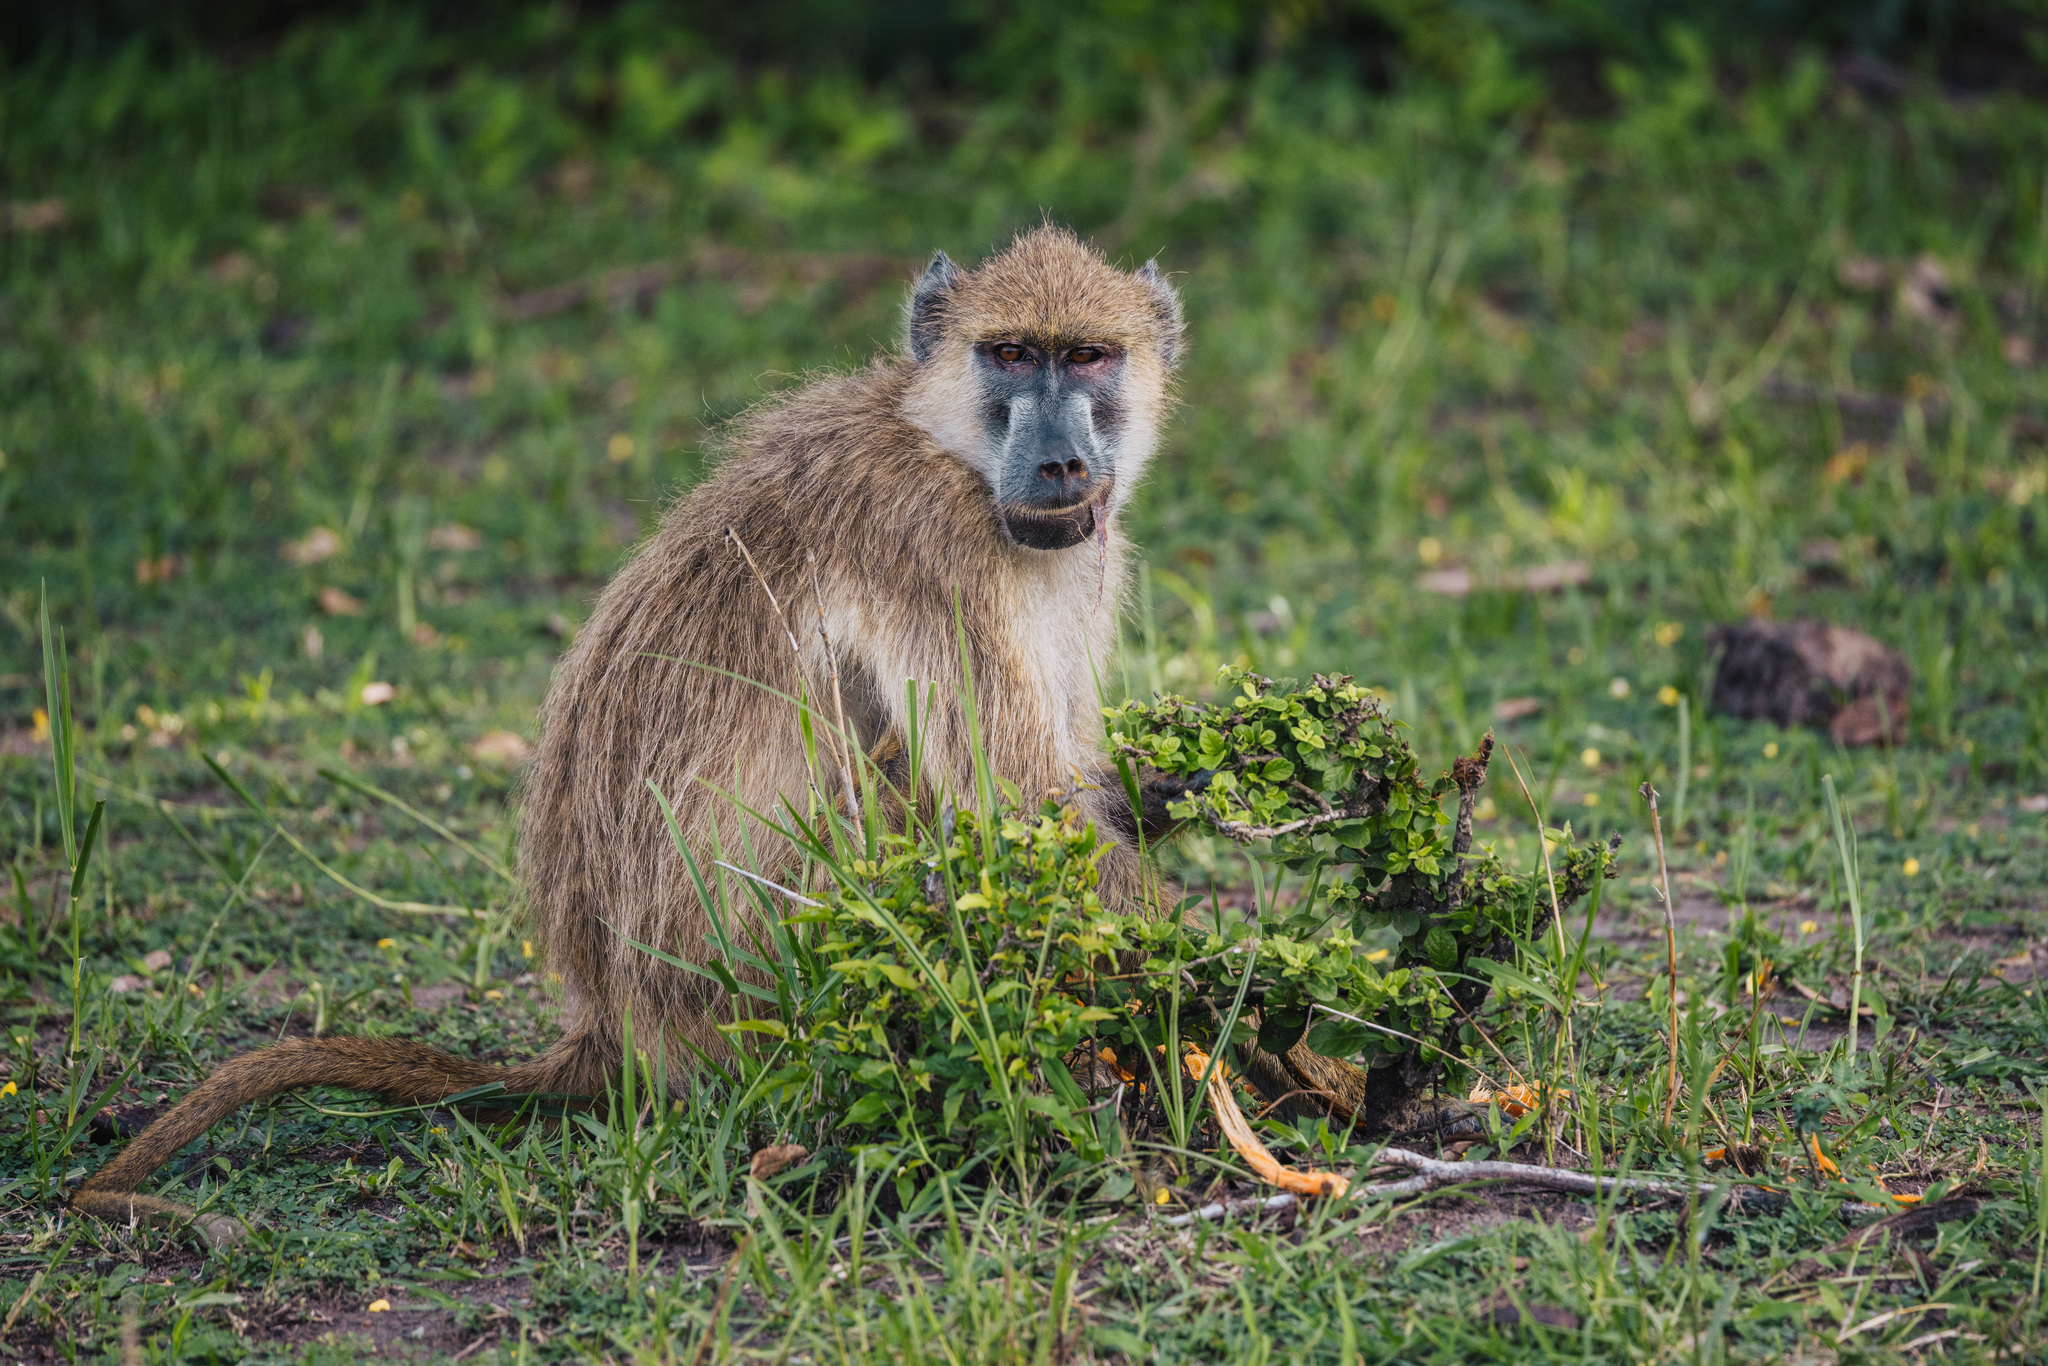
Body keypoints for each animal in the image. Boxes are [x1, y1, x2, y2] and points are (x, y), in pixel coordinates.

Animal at [70, 225, 1190, 1245]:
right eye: (1012, 355)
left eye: (1089, 356)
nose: (1058, 461)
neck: (946, 445)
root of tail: (611, 1020)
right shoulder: (928, 539)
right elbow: (1019, 808)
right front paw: (1206, 1002)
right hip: (772, 996)